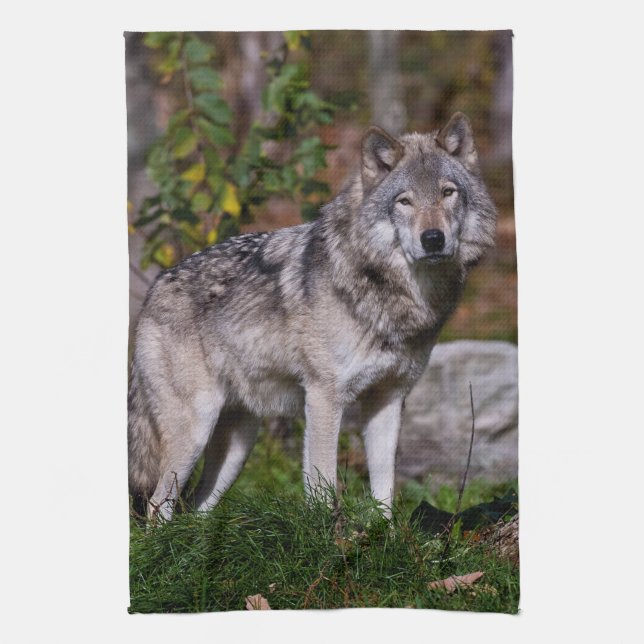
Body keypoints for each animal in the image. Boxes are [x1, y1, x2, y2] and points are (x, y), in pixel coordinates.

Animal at [128, 112, 496, 520]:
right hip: (194, 431)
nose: (433, 238)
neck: (390, 295)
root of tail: (156, 286)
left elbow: (384, 486)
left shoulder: (389, 398)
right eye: (404, 201)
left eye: (448, 192)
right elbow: (322, 484)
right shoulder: (323, 397)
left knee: (195, 510)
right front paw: (328, 533)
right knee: (157, 507)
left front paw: (383, 532)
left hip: (238, 447)